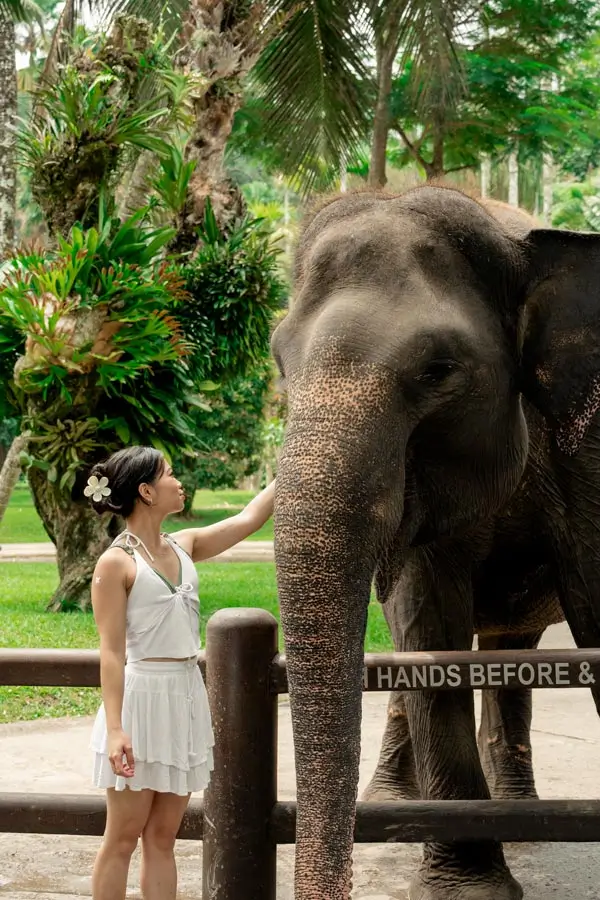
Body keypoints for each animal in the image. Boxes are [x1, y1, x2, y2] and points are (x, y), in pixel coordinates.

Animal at [271, 184, 600, 900]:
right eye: (280, 362)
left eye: (437, 370)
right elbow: (427, 622)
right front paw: (469, 889)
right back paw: (398, 810)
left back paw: (519, 817)